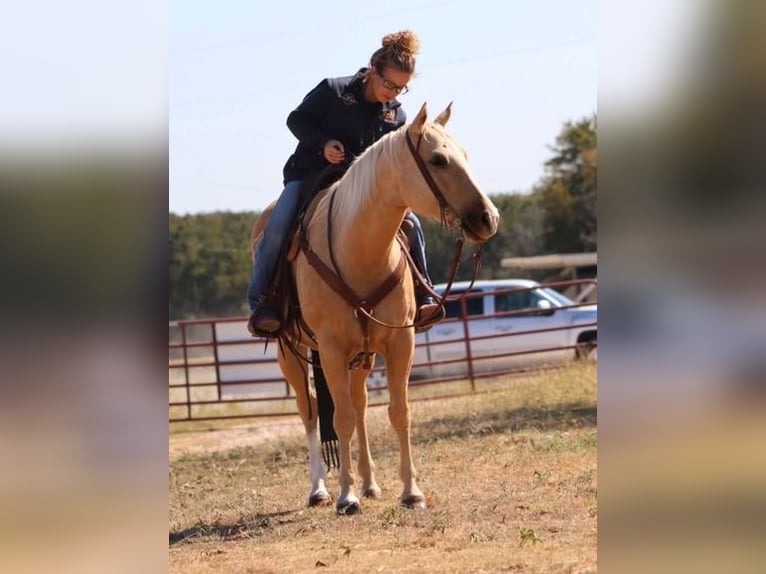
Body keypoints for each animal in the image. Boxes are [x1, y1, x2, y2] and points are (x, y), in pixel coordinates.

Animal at [249, 104, 500, 516]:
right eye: (438, 159)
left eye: (465, 155)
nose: (488, 218)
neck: (358, 249)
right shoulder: (331, 349)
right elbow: (340, 418)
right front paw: (346, 497)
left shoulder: (400, 343)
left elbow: (397, 413)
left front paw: (410, 491)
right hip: (292, 352)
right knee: (310, 410)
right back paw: (319, 489)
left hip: (361, 357)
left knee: (360, 405)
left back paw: (369, 483)